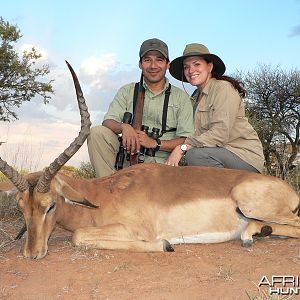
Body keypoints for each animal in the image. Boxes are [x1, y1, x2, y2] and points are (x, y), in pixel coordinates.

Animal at [0, 62, 298, 258]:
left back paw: (250, 235)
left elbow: (78, 235)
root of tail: (289, 190)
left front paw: (165, 244)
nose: (32, 254)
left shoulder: (133, 229)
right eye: (21, 207)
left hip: (251, 205)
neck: (101, 196)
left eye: (50, 205)